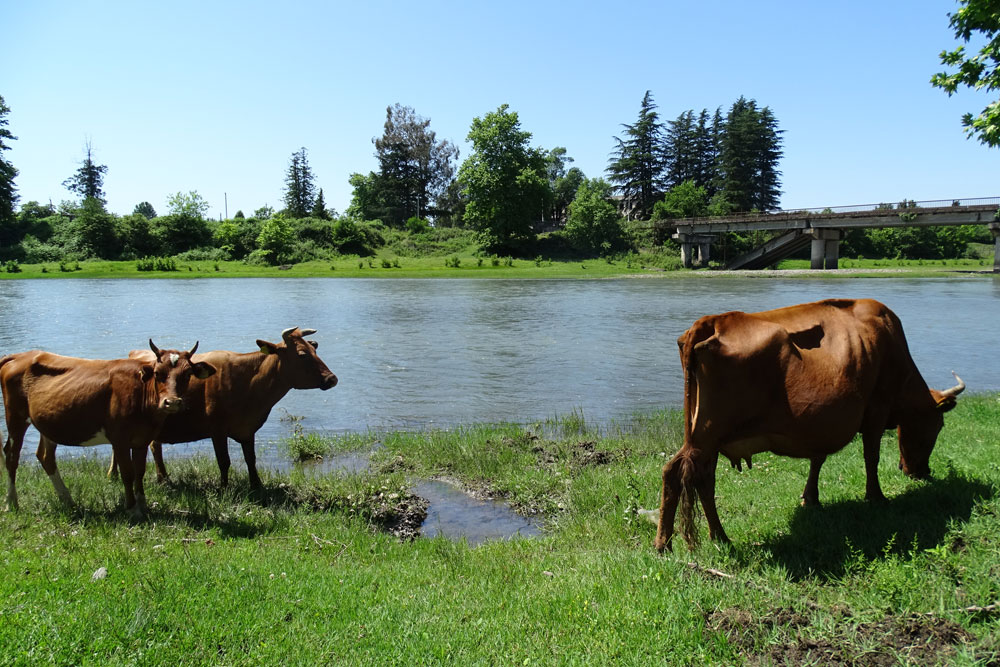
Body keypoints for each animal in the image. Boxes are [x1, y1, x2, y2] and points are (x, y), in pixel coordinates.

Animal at [2, 342, 215, 520]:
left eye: (187, 374)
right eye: (157, 373)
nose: (172, 402)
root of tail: (19, 356)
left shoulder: (142, 439)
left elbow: (140, 472)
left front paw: (143, 505)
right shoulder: (119, 439)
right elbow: (127, 473)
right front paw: (132, 509)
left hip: (47, 424)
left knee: (46, 456)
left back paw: (68, 501)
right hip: (15, 417)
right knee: (12, 456)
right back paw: (11, 502)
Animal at [112, 328, 340, 490]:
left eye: (314, 350)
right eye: (302, 354)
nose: (332, 379)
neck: (249, 383)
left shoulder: (248, 429)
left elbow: (250, 459)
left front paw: (256, 485)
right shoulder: (217, 430)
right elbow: (224, 461)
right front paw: (224, 488)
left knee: (152, 446)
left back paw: (158, 478)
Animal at [652, 298, 964, 552]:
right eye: (938, 426)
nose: (921, 472)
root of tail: (712, 321)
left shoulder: (821, 423)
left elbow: (818, 459)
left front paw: (810, 498)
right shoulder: (877, 407)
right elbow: (871, 456)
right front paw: (876, 497)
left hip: (707, 434)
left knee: (700, 477)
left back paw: (717, 537)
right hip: (709, 432)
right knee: (677, 472)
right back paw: (666, 544)